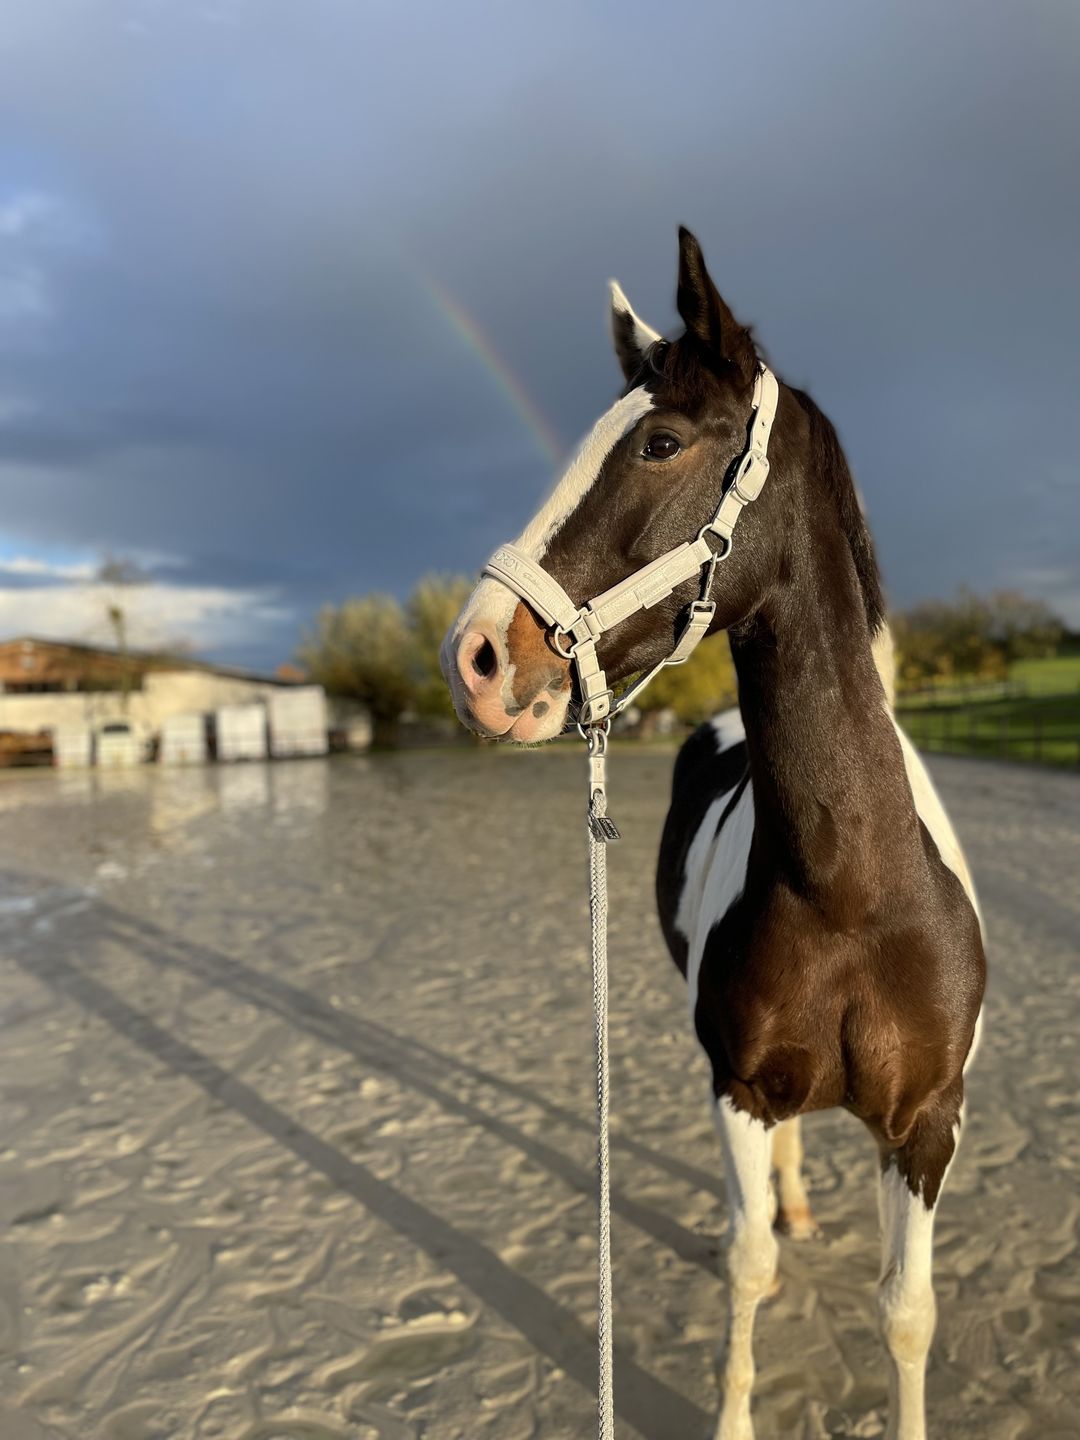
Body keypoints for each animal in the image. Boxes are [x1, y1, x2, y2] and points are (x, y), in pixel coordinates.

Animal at [441, 228, 986, 1440]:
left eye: (660, 441)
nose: (478, 658)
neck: (855, 895)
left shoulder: (929, 1124)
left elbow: (909, 1312)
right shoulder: (735, 1084)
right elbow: (746, 1268)